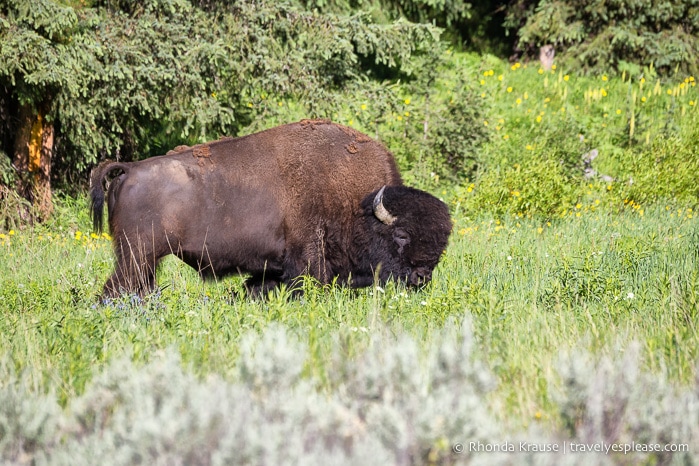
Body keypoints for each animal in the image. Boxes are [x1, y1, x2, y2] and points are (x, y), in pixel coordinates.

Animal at [91, 118, 454, 296]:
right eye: (402, 235)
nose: (421, 278)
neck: (358, 204)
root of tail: (130, 169)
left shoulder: (271, 270)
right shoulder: (306, 262)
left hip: (145, 262)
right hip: (136, 258)